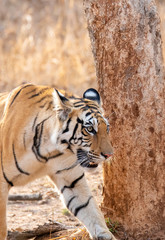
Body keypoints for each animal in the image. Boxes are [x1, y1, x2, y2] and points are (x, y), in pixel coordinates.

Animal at [0, 84, 116, 240]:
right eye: (90, 129)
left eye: (107, 128)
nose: (109, 155)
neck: (50, 150)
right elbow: (2, 227)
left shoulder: (71, 179)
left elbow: (91, 210)